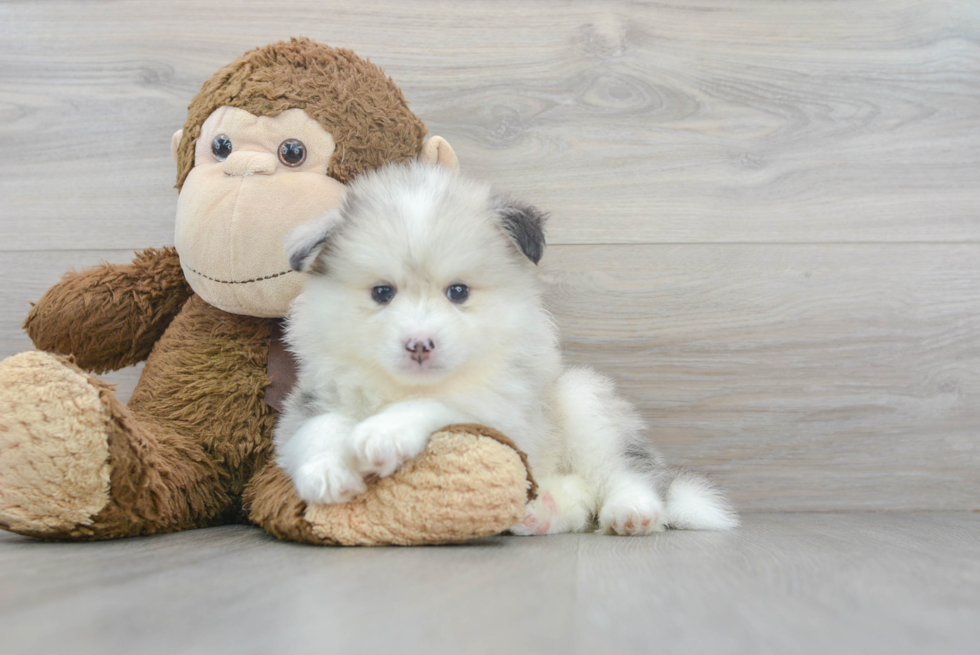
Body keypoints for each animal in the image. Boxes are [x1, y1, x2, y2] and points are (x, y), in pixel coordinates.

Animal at [276, 161, 736, 536]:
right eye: (382, 293)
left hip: (585, 402)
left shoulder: (499, 412)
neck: (403, 385)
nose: (419, 345)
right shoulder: (306, 401)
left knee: (625, 473)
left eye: (458, 292)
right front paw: (326, 471)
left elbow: (438, 403)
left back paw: (632, 513)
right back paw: (542, 512)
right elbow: (317, 427)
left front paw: (383, 433)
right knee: (579, 496)